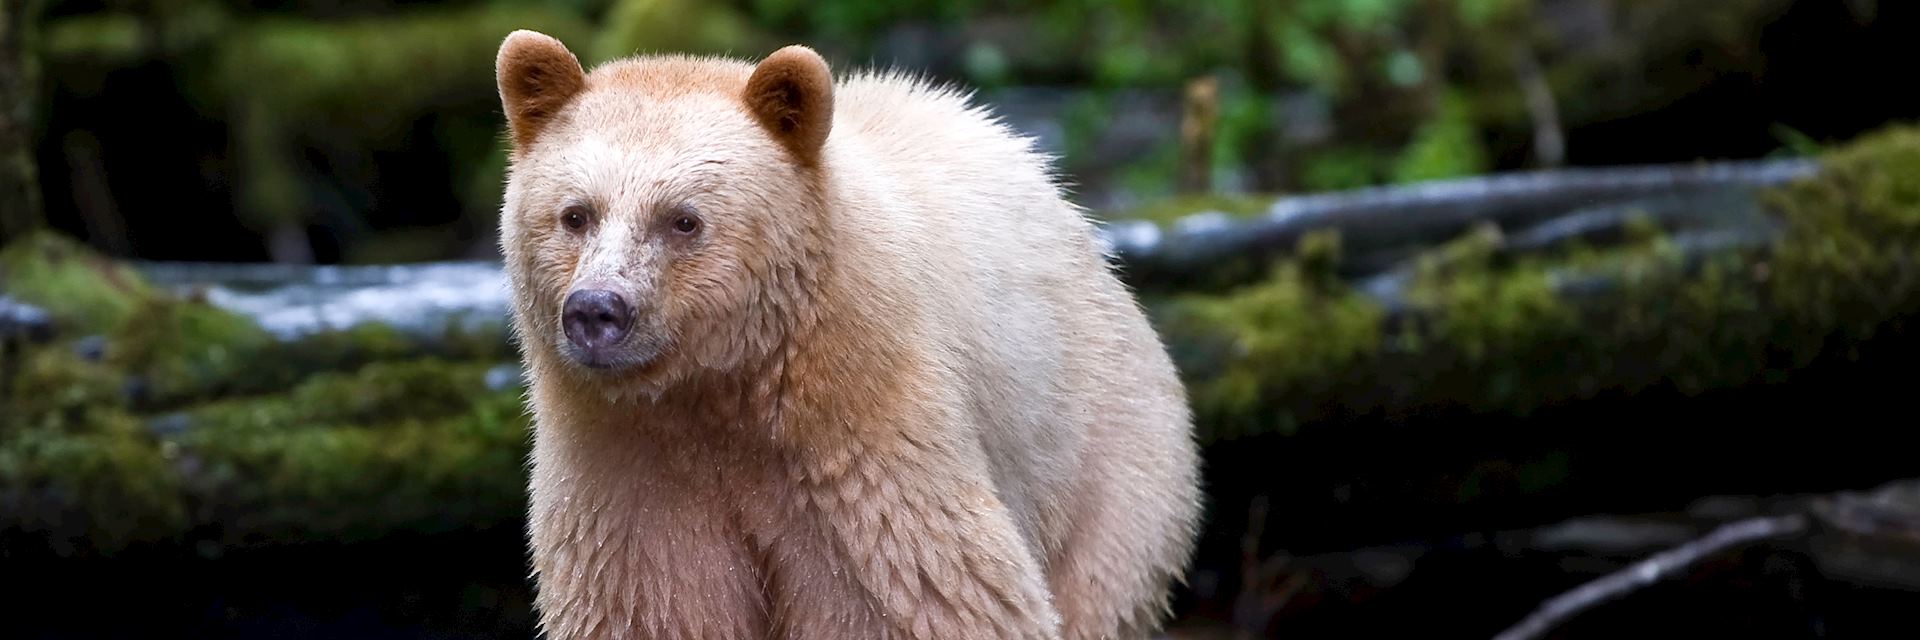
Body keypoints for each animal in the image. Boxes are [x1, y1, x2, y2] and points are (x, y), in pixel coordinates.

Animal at [503, 31, 1205, 638]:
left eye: (683, 219)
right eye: (575, 214)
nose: (598, 310)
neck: (720, 384)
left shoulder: (860, 430)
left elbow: (922, 593)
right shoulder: (626, 466)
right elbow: (646, 604)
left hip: (1109, 458)